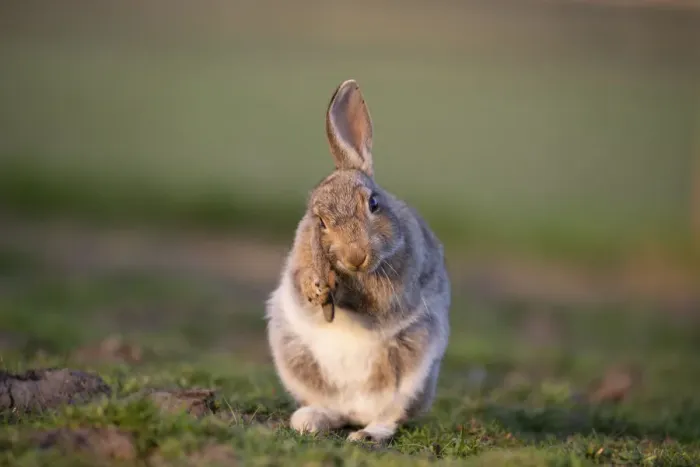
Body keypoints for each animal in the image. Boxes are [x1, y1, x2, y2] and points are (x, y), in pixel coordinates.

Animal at [265, 79, 451, 443]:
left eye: (374, 204)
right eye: (321, 222)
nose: (355, 256)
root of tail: (355, 411)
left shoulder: (396, 283)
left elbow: (375, 300)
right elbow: (301, 286)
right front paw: (316, 286)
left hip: (412, 370)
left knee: (389, 416)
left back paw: (367, 434)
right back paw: (309, 420)